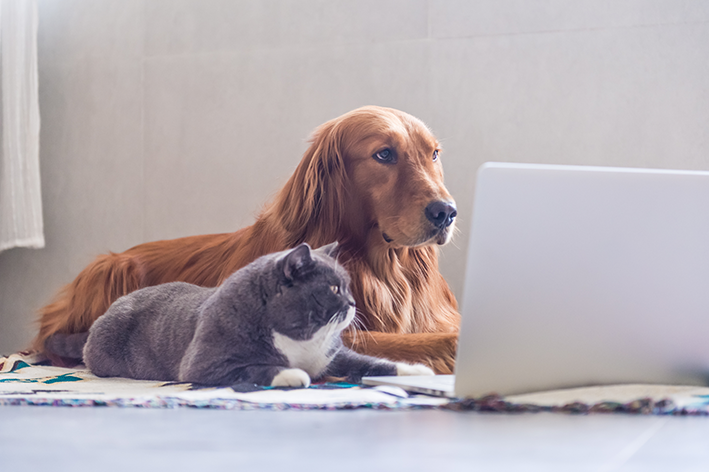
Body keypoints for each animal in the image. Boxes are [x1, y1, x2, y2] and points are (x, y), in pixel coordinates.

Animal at [34, 106, 460, 372]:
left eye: (434, 154)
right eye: (384, 154)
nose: (446, 212)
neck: (383, 269)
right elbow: (432, 342)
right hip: (111, 268)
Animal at [45, 243, 432, 388]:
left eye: (349, 287)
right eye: (335, 289)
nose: (353, 303)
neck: (300, 339)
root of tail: (109, 309)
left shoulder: (331, 356)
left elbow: (370, 362)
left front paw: (418, 371)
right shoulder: (205, 364)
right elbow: (255, 367)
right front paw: (293, 375)